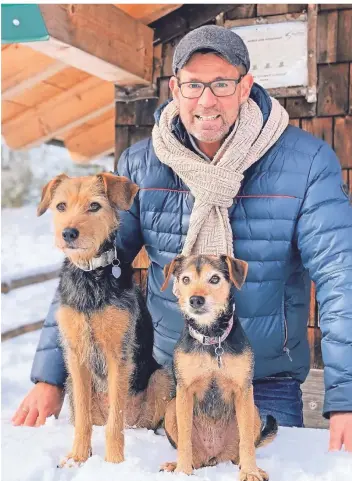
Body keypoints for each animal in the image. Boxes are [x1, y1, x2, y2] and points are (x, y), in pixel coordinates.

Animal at [38, 172, 173, 464]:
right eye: (61, 206)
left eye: (94, 206)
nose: (68, 233)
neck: (90, 275)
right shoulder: (76, 355)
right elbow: (83, 420)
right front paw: (77, 457)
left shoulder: (118, 354)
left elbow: (115, 422)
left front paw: (114, 462)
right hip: (70, 383)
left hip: (161, 378)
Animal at [160, 253, 278, 478]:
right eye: (185, 279)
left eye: (214, 279)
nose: (195, 300)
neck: (212, 338)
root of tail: (214, 457)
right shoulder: (184, 391)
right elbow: (185, 439)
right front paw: (182, 471)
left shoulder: (243, 390)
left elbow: (247, 442)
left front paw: (250, 472)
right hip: (171, 408)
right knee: (193, 454)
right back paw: (177, 465)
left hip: (254, 410)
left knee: (242, 449)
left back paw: (252, 467)